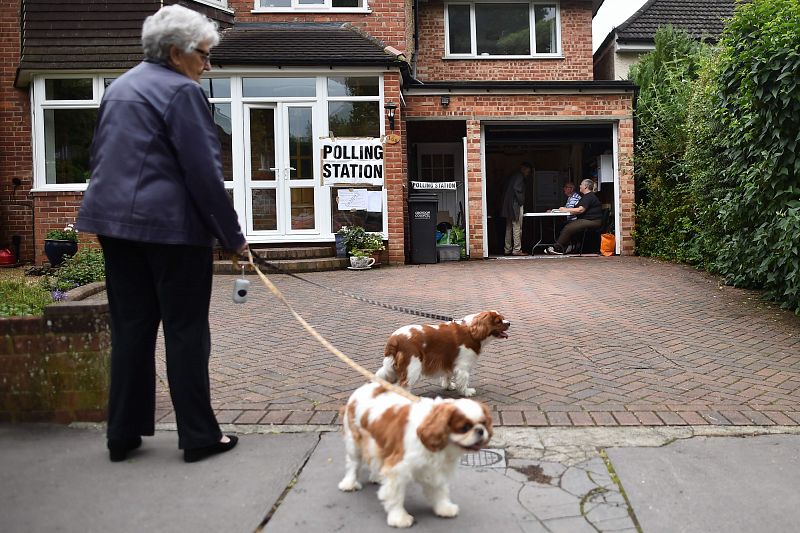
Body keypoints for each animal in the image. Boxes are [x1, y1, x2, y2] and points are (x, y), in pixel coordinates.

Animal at [336, 380, 490, 524]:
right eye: (464, 428)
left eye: (483, 423)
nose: (480, 430)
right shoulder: (397, 470)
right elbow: (395, 496)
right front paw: (399, 518)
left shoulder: (435, 470)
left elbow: (439, 491)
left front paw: (444, 508)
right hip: (355, 443)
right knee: (353, 464)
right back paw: (349, 484)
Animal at [376, 310, 512, 396]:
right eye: (498, 321)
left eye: (503, 318)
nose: (509, 323)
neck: (471, 331)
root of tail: (394, 339)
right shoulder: (463, 365)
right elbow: (463, 380)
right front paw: (466, 392)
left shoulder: (448, 359)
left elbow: (447, 374)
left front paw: (448, 386)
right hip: (412, 367)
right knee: (404, 386)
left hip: (391, 366)